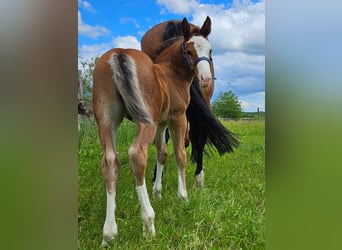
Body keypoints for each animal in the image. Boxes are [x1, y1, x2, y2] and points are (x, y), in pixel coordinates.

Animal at [92, 17, 212, 246]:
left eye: (210, 50)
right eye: (189, 50)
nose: (205, 79)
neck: (171, 74)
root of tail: (120, 53)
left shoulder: (161, 124)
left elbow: (161, 153)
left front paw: (158, 192)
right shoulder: (177, 118)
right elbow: (179, 155)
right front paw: (183, 195)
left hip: (106, 121)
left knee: (110, 161)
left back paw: (109, 234)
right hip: (145, 121)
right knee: (137, 154)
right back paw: (148, 223)